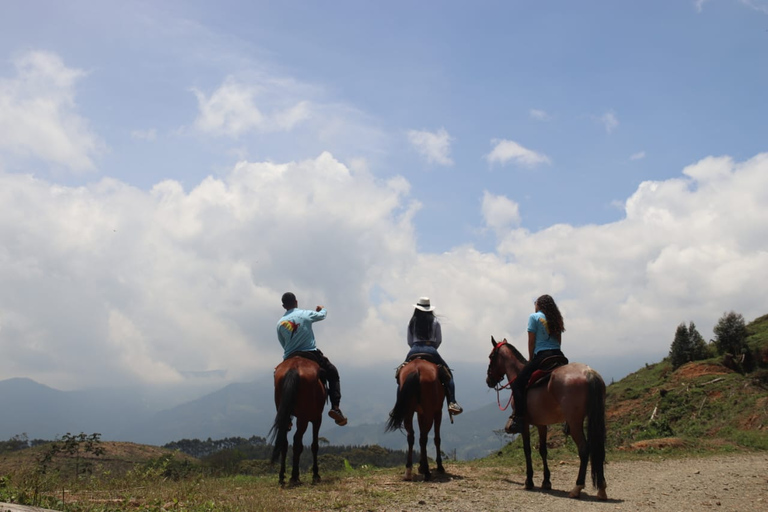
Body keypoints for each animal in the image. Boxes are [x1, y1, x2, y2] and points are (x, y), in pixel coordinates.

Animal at [268, 354, 326, 486]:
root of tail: (293, 367)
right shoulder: (317, 418)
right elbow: (314, 445)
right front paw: (316, 475)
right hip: (304, 418)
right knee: (296, 441)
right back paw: (294, 476)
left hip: (284, 412)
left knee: (284, 441)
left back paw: (282, 476)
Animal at [486, 336, 608, 500]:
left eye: (491, 357)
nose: (488, 380)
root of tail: (589, 372)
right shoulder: (541, 424)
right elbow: (543, 450)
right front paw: (546, 481)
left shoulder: (525, 424)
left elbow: (527, 450)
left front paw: (529, 481)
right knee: (598, 448)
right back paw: (601, 488)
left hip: (575, 421)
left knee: (584, 449)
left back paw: (577, 487)